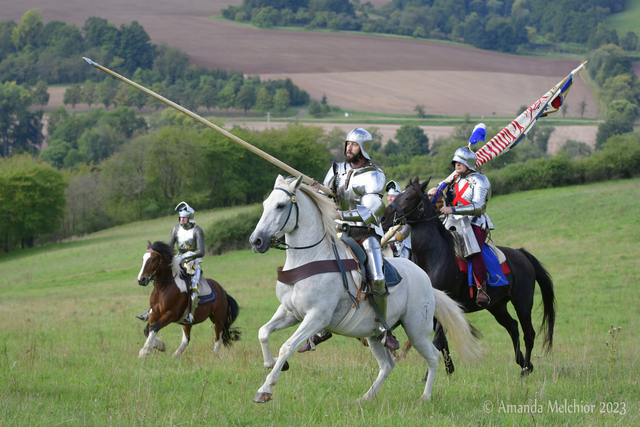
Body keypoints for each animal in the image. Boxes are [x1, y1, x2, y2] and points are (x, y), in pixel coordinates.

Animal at [248, 176, 482, 402]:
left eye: (281, 205)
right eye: (265, 204)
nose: (256, 241)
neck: (310, 258)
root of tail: (427, 282)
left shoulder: (316, 317)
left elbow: (286, 346)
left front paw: (265, 389)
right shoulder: (290, 313)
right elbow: (263, 333)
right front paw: (273, 363)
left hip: (417, 330)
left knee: (432, 356)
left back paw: (425, 397)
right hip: (374, 334)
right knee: (387, 365)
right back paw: (366, 397)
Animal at [380, 179, 556, 376]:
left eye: (409, 197)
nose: (383, 219)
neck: (435, 254)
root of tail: (522, 254)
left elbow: (438, 340)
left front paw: (429, 376)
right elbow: (442, 341)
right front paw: (449, 369)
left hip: (523, 302)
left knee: (528, 333)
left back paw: (525, 369)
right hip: (497, 306)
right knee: (512, 327)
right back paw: (524, 363)